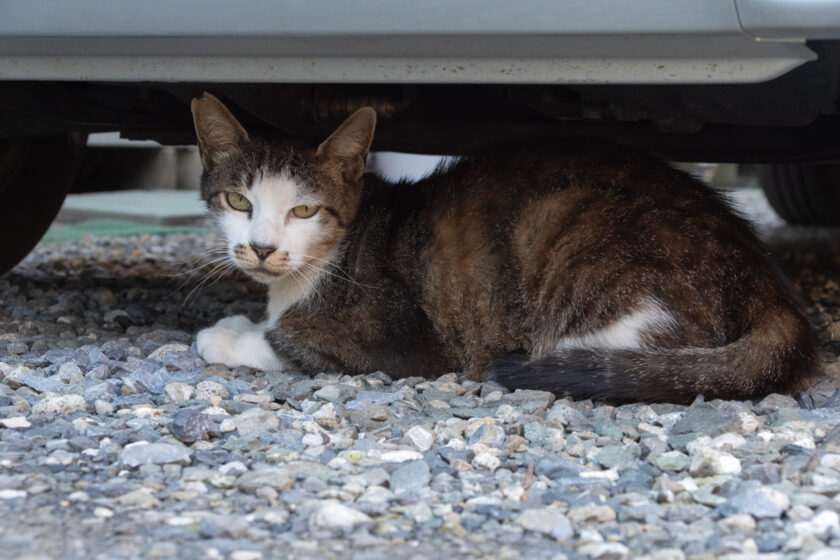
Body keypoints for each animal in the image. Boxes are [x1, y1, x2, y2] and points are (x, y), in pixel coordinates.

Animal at [189, 94, 812, 404]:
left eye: (305, 211)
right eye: (239, 201)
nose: (262, 248)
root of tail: (763, 276)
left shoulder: (398, 344)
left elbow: (288, 344)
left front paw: (227, 335)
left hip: (578, 250)